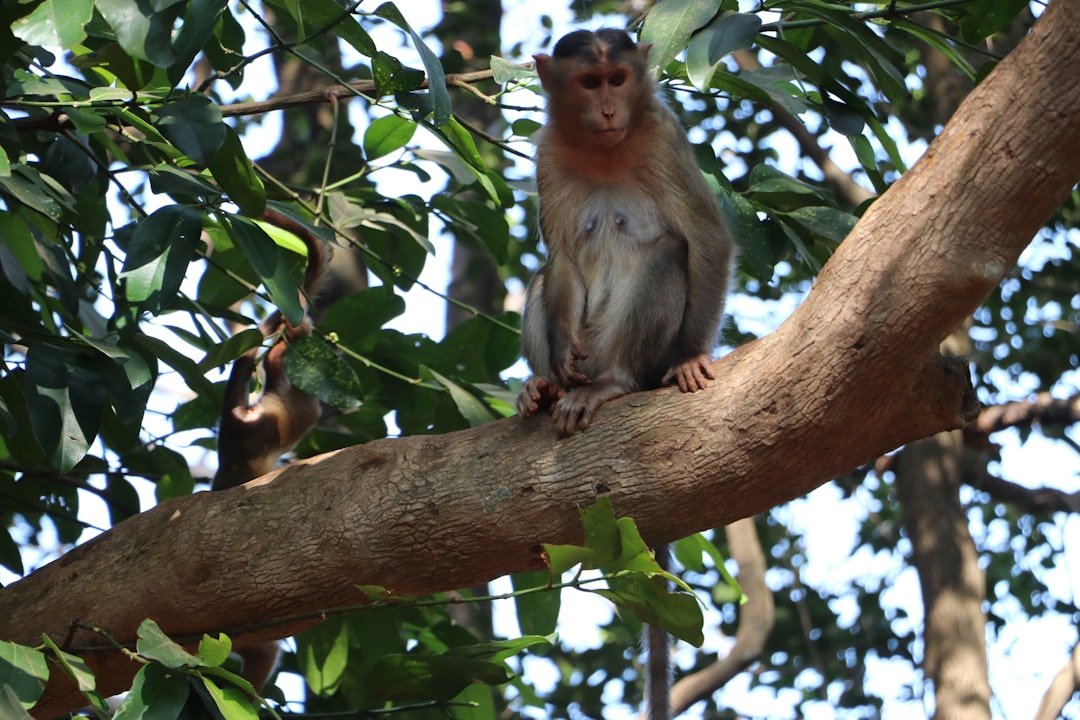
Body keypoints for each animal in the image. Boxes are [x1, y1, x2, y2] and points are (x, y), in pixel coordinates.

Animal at [516, 29, 735, 719]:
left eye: (618, 79)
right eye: (590, 83)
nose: (611, 109)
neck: (605, 149)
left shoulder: (665, 139)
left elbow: (708, 241)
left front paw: (691, 359)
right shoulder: (548, 154)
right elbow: (560, 257)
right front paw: (553, 367)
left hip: (636, 354)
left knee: (667, 252)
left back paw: (611, 387)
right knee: (543, 276)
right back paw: (548, 387)